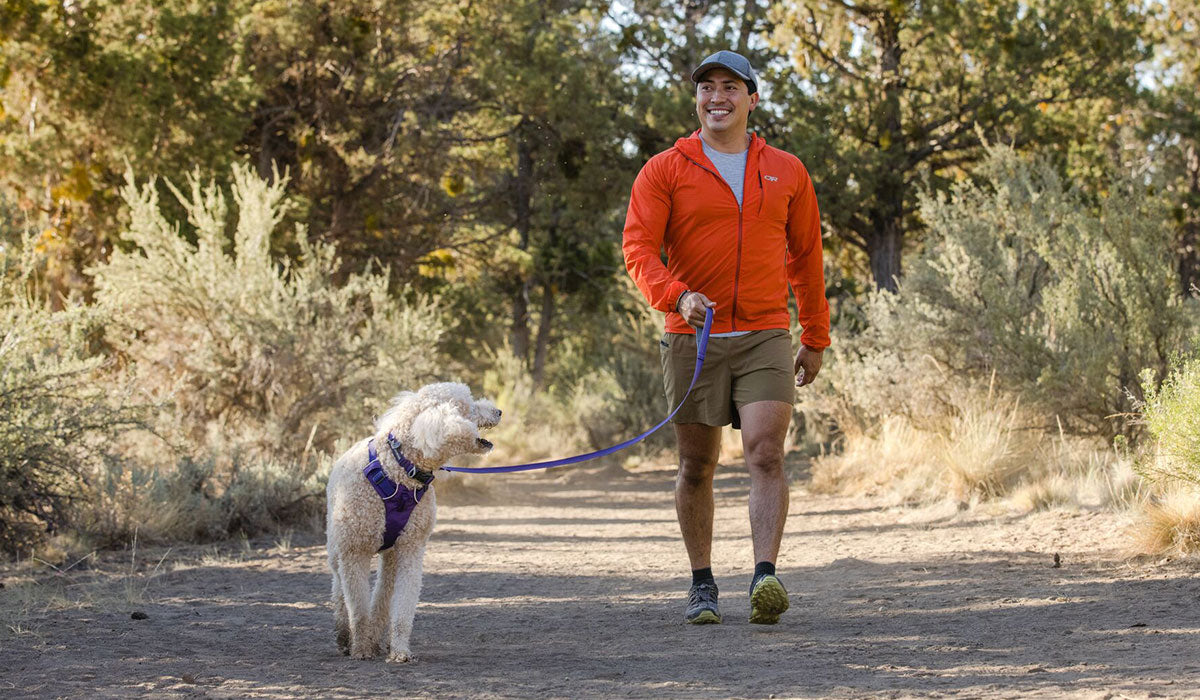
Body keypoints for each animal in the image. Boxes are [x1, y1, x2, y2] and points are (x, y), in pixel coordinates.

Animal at [324, 384, 501, 662]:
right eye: (468, 405)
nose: (499, 411)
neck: (399, 470)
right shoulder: (354, 552)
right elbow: (358, 610)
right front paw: (361, 649)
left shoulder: (411, 548)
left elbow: (404, 606)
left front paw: (399, 651)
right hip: (337, 546)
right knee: (339, 588)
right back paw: (345, 635)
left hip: (391, 554)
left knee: (383, 595)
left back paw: (377, 638)